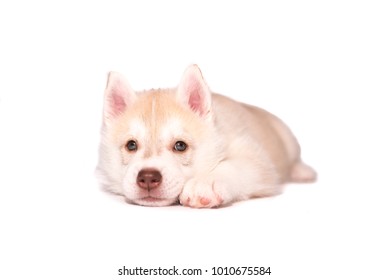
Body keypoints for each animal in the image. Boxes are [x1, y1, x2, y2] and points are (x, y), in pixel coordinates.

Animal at [96, 64, 316, 207]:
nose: (148, 178)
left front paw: (206, 183)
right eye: (131, 145)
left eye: (180, 145)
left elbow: (234, 166)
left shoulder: (257, 160)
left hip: (288, 140)